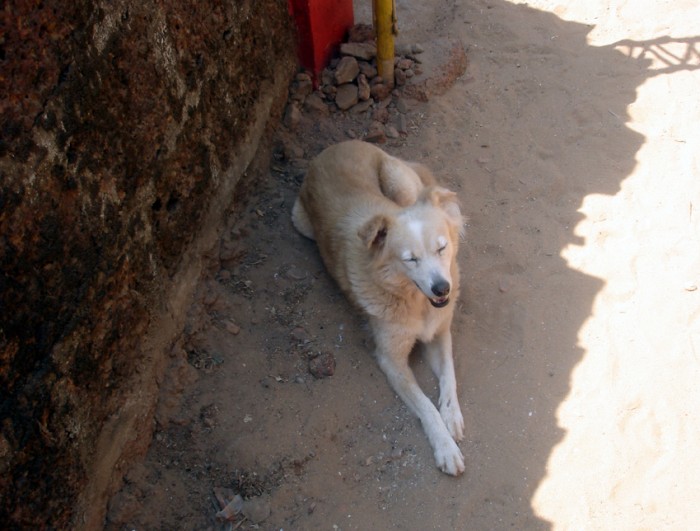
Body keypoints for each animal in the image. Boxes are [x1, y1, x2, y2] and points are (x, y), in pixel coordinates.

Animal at [292, 140, 465, 475]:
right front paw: (445, 447)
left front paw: (452, 415)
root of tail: (336, 146)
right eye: (411, 259)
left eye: (441, 247)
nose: (443, 289)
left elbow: (450, 375)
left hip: (402, 184)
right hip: (300, 221)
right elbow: (426, 405)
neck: (417, 303)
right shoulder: (391, 359)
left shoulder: (440, 333)